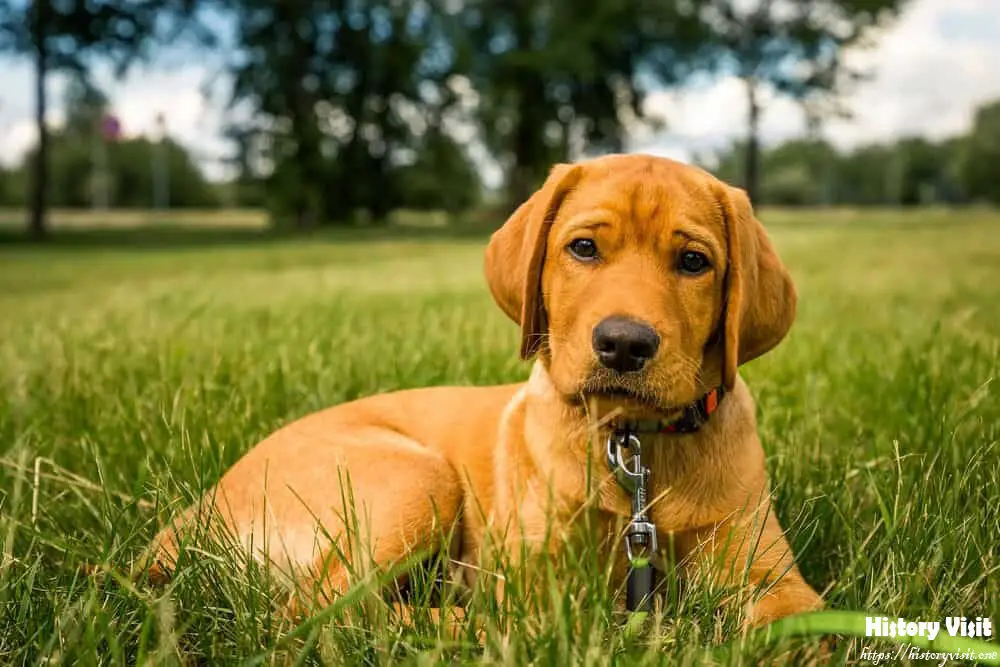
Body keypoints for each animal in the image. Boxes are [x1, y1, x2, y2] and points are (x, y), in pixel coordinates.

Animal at [146, 154, 820, 628]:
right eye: (583, 247)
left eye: (693, 262)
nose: (624, 345)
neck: (635, 447)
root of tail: (195, 510)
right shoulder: (532, 578)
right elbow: (554, 622)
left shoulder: (770, 574)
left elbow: (802, 626)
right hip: (417, 480)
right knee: (324, 611)